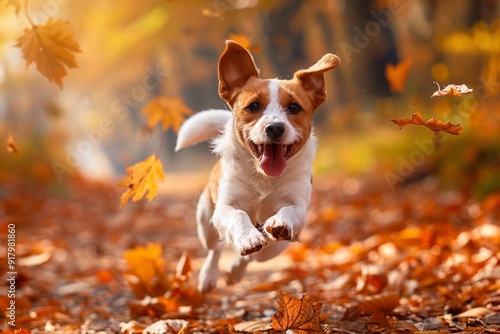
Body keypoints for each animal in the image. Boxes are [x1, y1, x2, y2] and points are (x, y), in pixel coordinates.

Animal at [176, 39, 340, 292]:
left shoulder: (298, 208)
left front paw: (278, 222)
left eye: (294, 108)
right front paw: (247, 237)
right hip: (205, 221)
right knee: (215, 248)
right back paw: (210, 275)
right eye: (253, 106)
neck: (263, 177)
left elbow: (288, 211)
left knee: (256, 254)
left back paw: (236, 269)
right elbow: (238, 216)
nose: (275, 128)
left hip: (277, 248)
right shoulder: (224, 208)